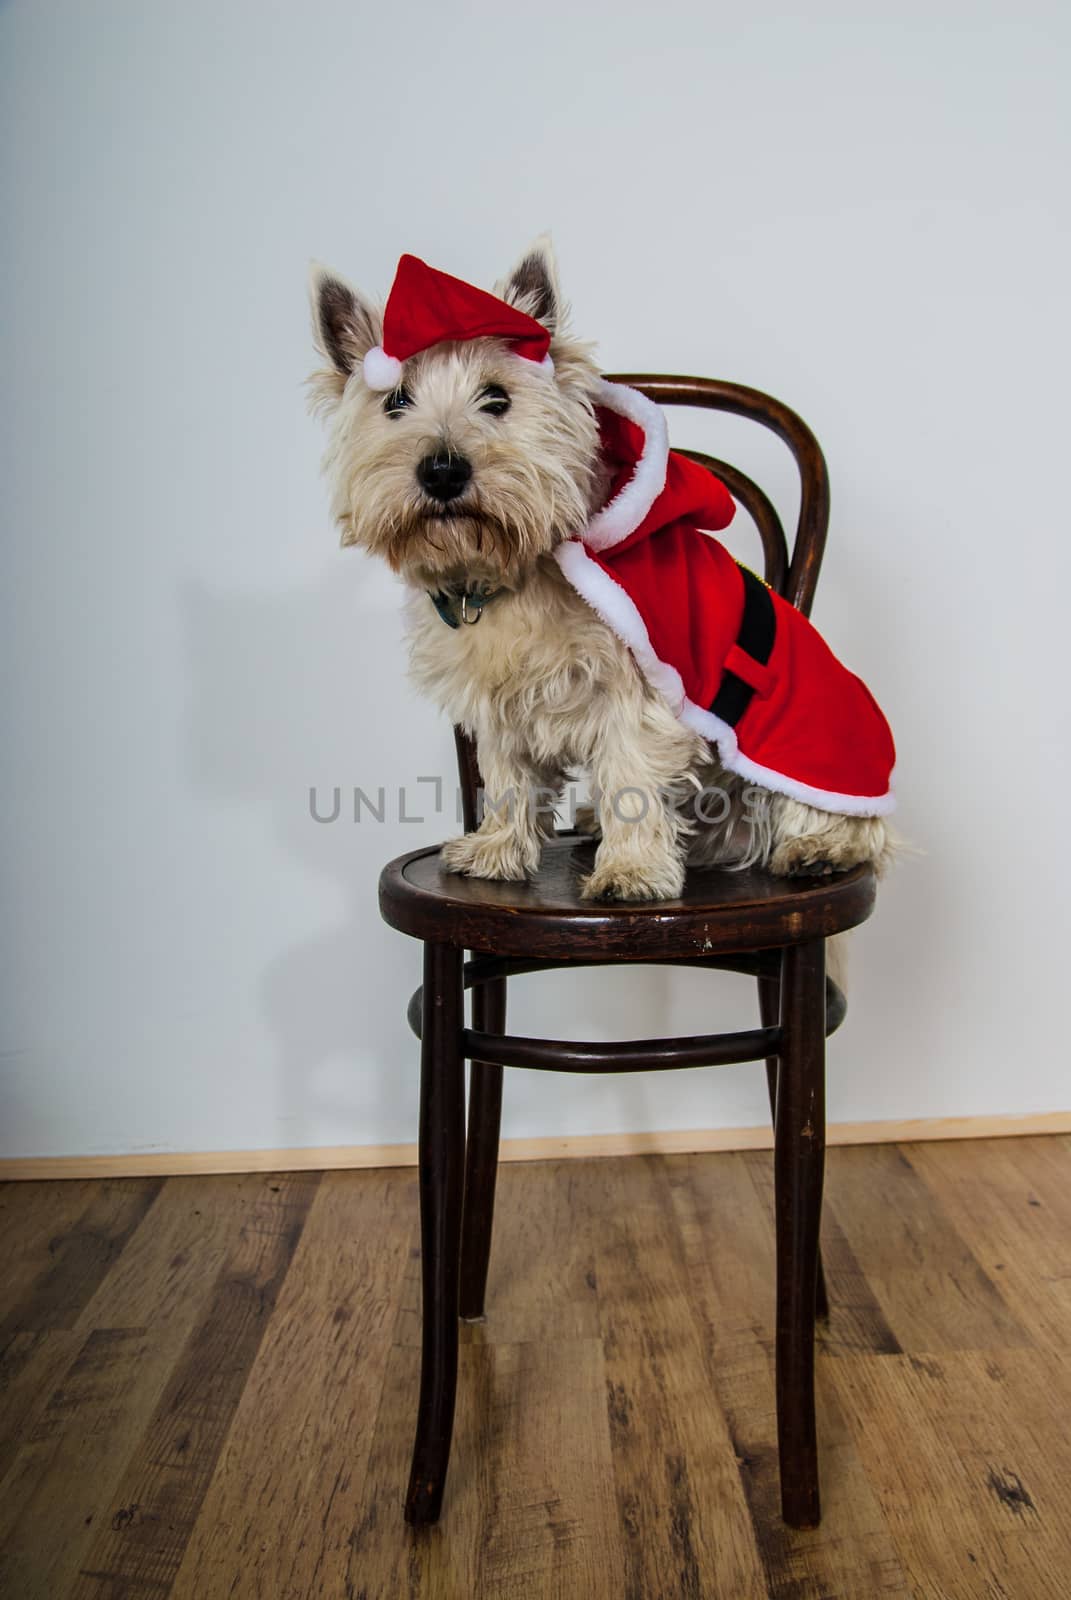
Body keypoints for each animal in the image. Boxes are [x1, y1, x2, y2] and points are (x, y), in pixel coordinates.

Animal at [308, 236, 896, 902]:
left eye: (497, 398)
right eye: (396, 402)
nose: (442, 470)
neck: (511, 567)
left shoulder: (637, 689)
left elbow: (631, 778)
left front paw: (631, 872)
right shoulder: (497, 699)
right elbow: (507, 778)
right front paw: (497, 852)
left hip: (807, 744)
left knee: (835, 821)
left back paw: (816, 849)